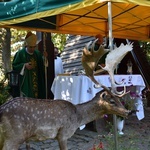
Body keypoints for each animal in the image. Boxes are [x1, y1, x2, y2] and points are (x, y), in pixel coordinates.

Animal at [0, 39, 132, 150]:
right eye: (111, 101)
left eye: (118, 99)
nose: (128, 112)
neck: (78, 118)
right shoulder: (63, 134)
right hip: (14, 137)